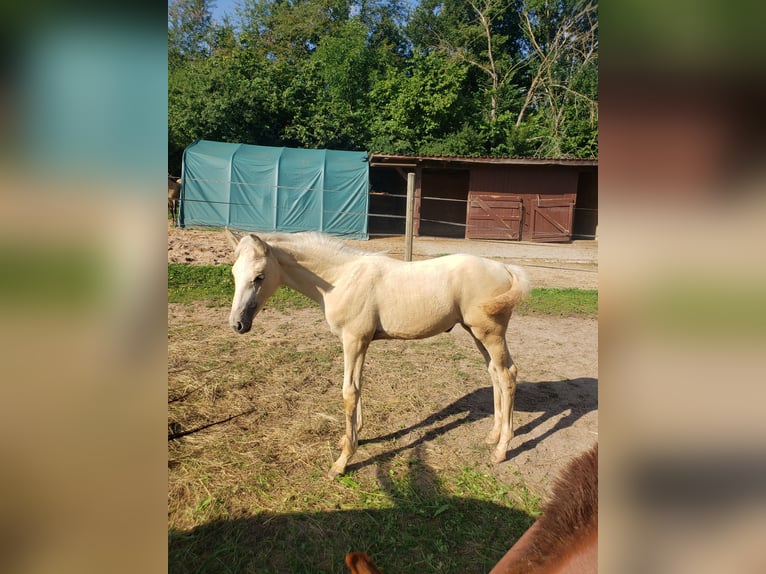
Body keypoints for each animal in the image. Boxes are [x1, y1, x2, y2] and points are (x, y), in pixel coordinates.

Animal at [225, 232, 532, 480]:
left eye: (259, 276)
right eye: (234, 274)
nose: (237, 324)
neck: (341, 279)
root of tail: (504, 268)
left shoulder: (354, 340)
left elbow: (349, 392)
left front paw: (342, 462)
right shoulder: (359, 344)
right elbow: (358, 388)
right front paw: (349, 438)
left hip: (490, 334)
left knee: (508, 375)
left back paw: (501, 449)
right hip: (476, 333)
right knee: (494, 373)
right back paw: (492, 435)